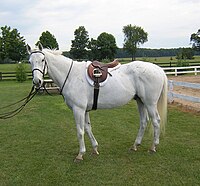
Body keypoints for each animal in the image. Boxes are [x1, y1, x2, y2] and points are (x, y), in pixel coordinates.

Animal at [26, 44, 167, 161]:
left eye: (42, 60)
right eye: (30, 61)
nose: (37, 81)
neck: (71, 75)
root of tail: (159, 69)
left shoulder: (78, 109)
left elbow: (80, 131)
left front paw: (80, 154)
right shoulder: (85, 110)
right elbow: (88, 128)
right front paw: (95, 148)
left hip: (150, 103)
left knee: (156, 121)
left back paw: (153, 147)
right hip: (140, 101)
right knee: (144, 122)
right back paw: (135, 145)